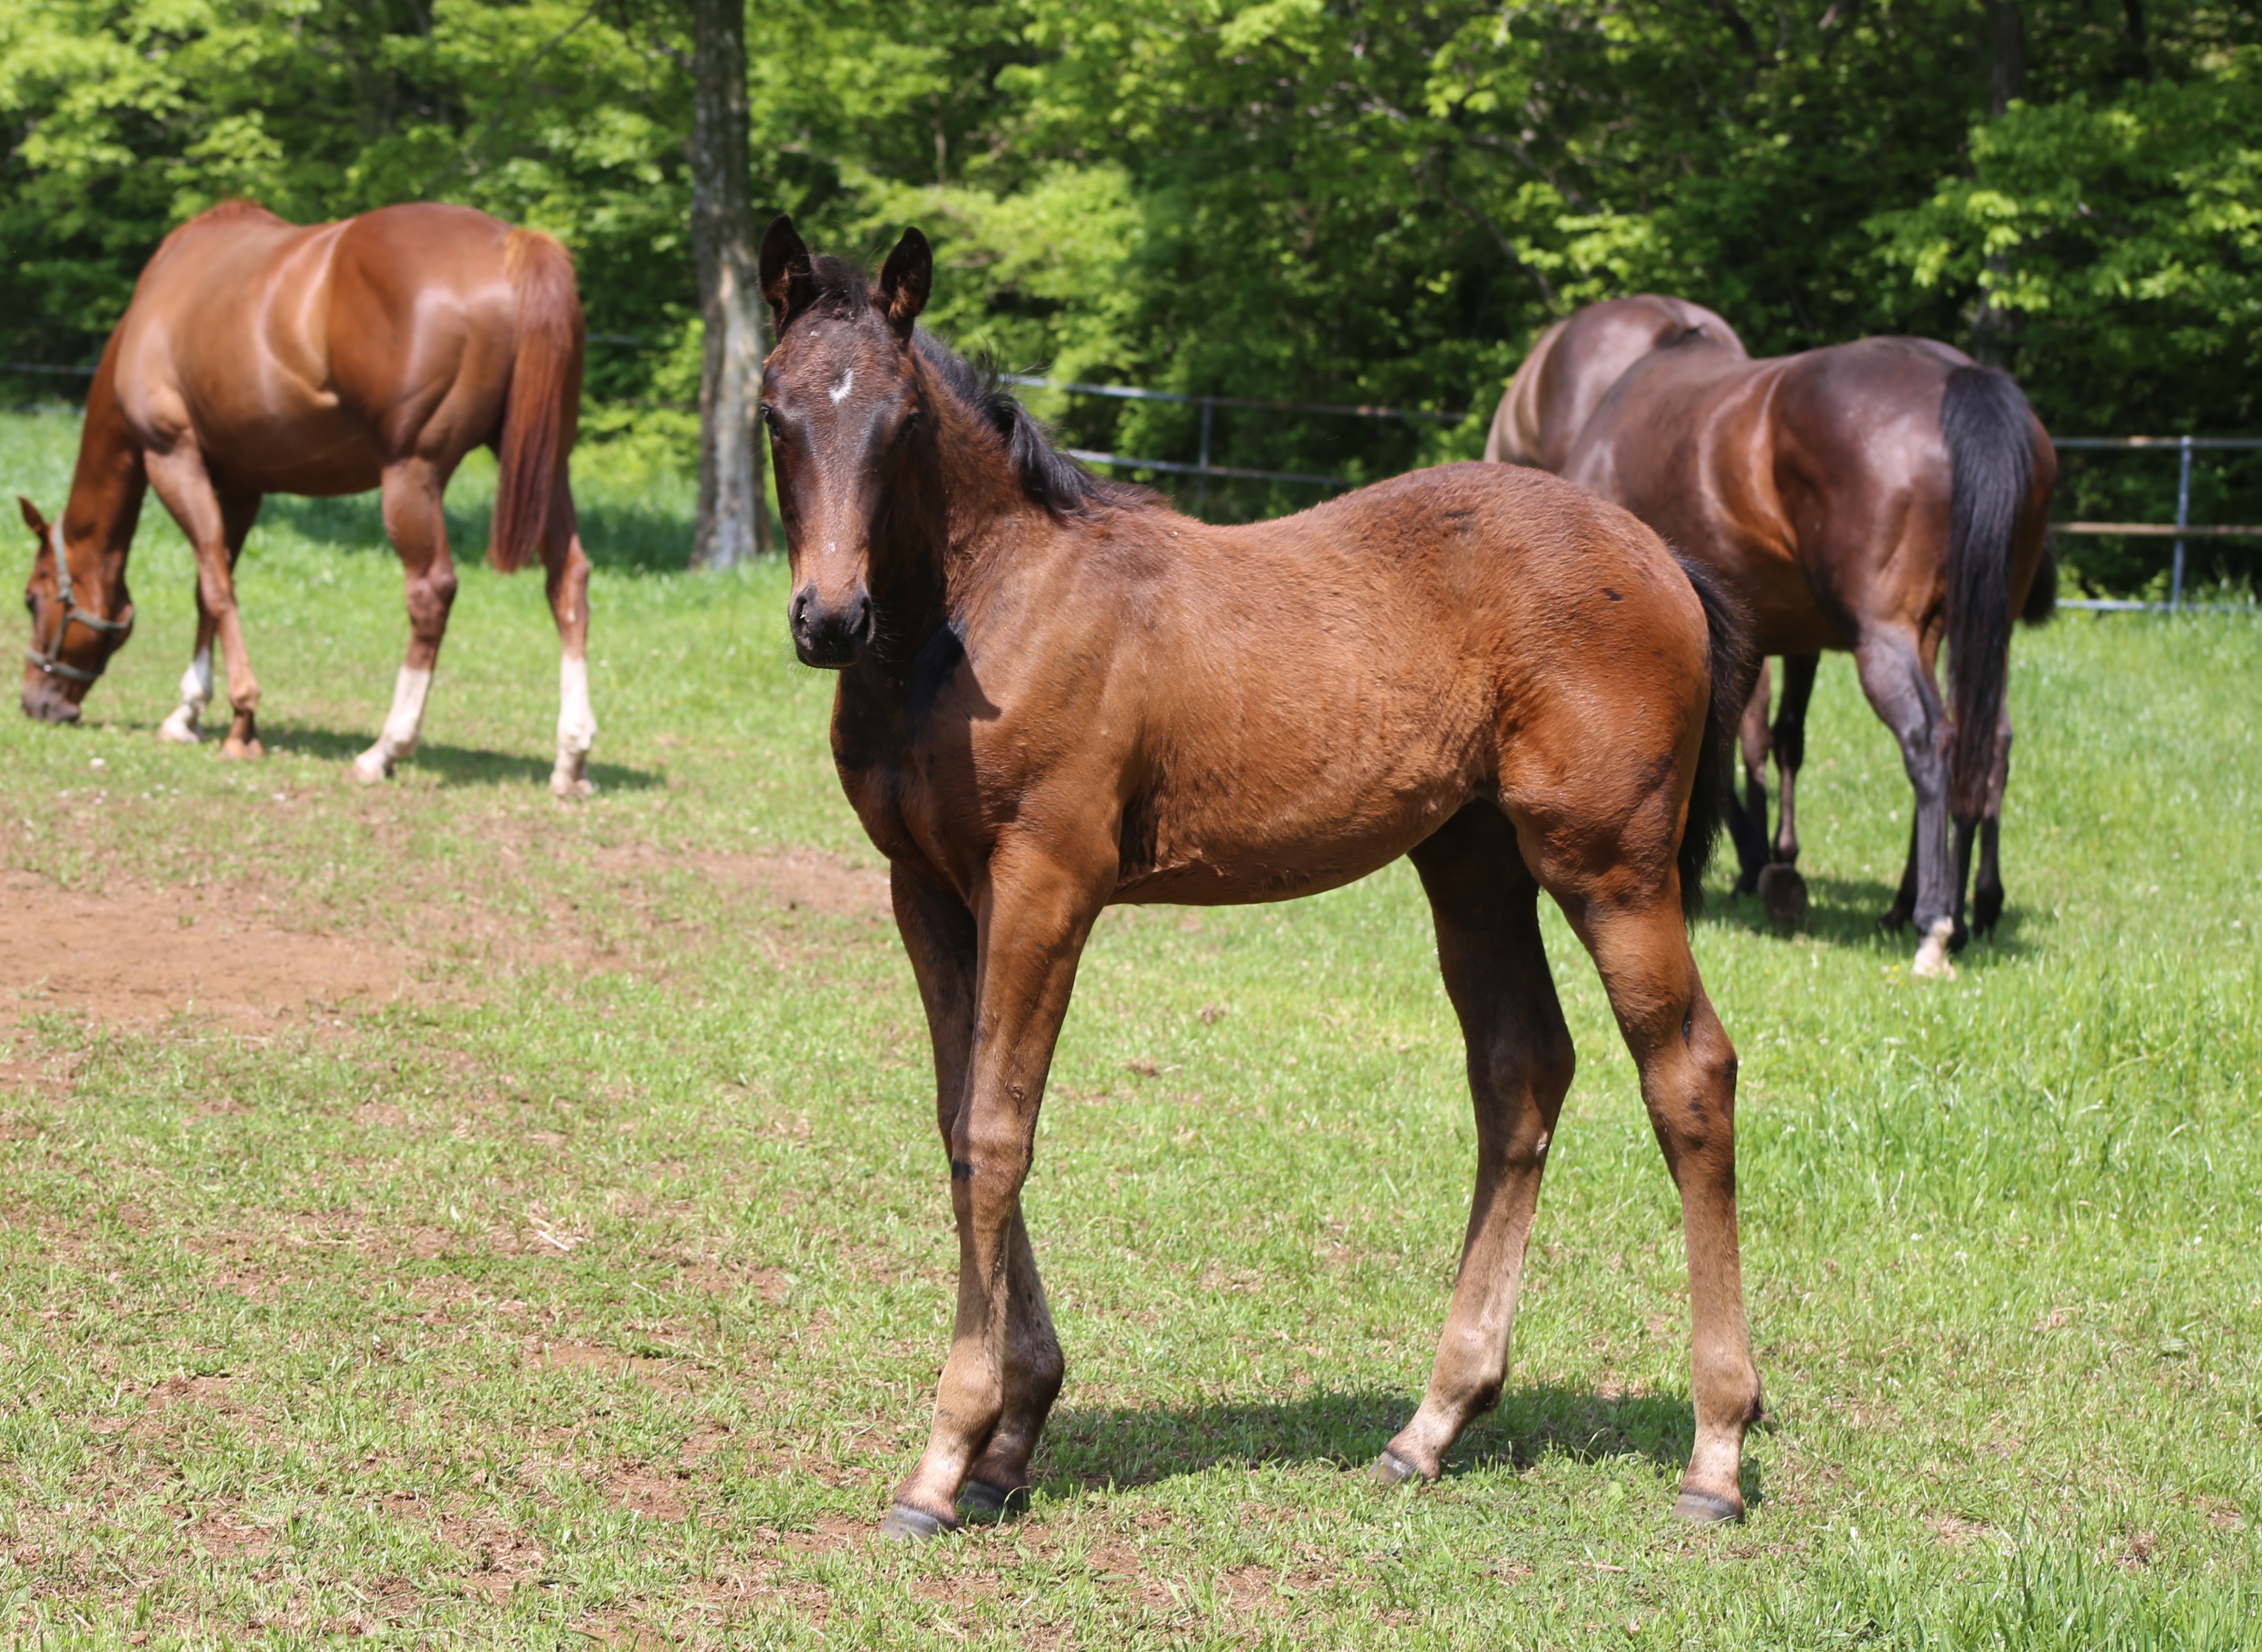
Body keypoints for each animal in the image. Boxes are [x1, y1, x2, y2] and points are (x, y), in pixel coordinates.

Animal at [17, 200, 597, 795]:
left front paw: (240, 720)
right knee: (567, 581)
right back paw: (571, 757)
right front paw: (189, 713)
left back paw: (385, 749)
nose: (36, 704)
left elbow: (216, 587)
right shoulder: (241, 485)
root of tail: (513, 246)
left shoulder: (174, 460)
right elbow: (212, 586)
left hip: (412, 475)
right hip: (547, 466)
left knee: (431, 593)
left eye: (32, 598)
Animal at [755, 219, 1764, 1536]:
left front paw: (949, 1451)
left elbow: (998, 1127)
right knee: (1521, 1073)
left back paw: (1716, 1450)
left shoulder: (1046, 884)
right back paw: (1430, 1425)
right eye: (774, 410)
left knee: (1688, 1074)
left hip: (1613, 867)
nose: (830, 617)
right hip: (1474, 865)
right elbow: (957, 1121)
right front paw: (1011, 1435)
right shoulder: (922, 888)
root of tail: (1661, 555)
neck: (978, 617)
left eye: (900, 420)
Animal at [1493, 294, 2063, 981]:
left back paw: (1932, 920)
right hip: (1974, 630)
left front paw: (1758, 863)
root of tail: (1958, 376)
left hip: (1888, 636)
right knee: (1986, 743)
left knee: (1931, 741)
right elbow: (1767, 737)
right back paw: (1961, 903)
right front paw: (1763, 862)